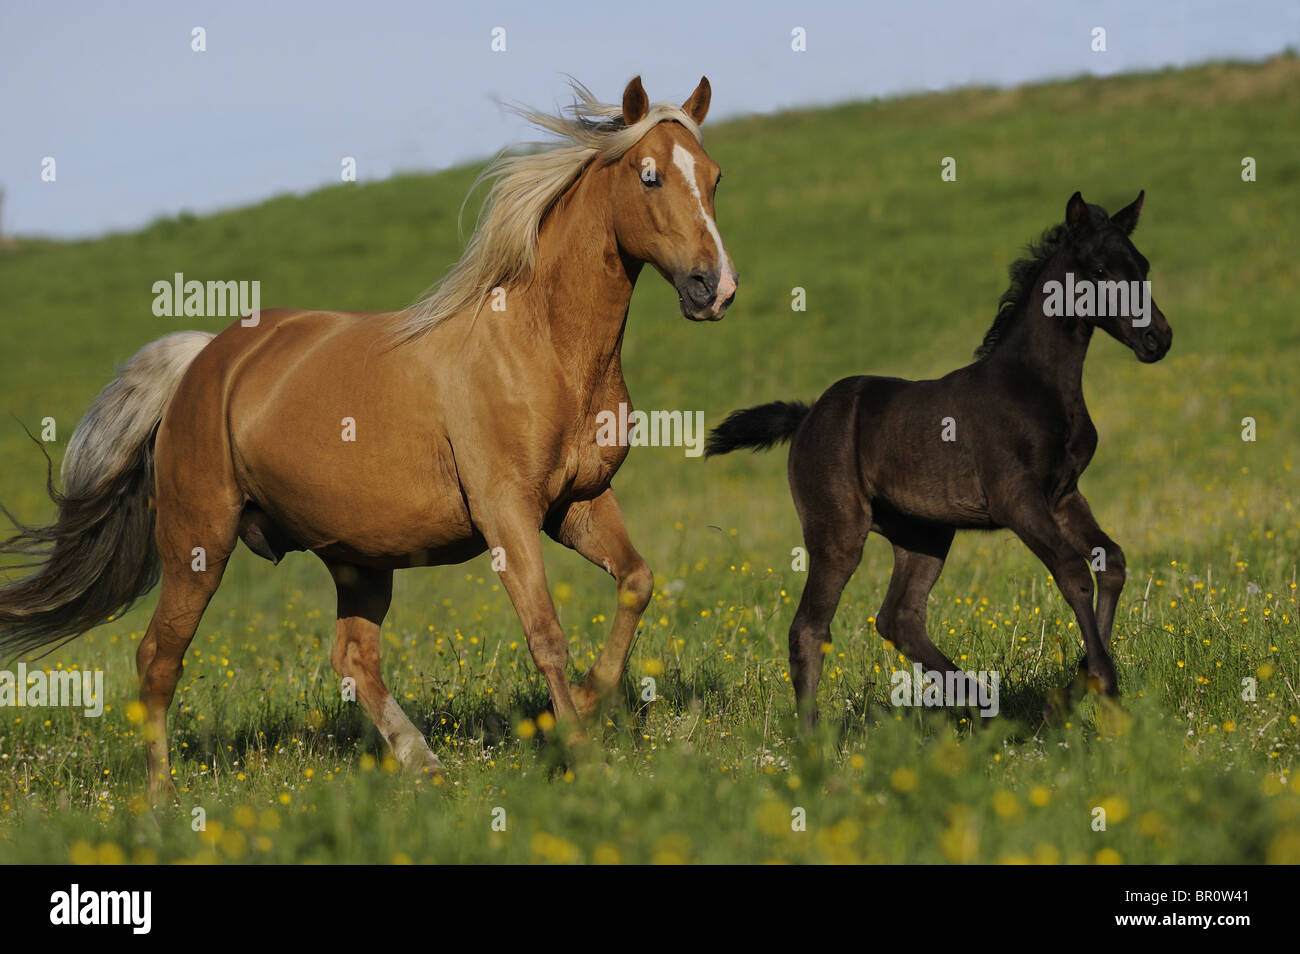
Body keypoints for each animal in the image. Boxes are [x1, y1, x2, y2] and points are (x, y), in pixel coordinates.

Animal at [0, 78, 733, 805]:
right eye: (648, 176)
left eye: (714, 177)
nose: (713, 288)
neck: (541, 345)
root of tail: (203, 361)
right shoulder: (507, 513)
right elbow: (546, 634)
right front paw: (579, 752)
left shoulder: (577, 503)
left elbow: (636, 582)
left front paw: (578, 707)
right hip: (197, 542)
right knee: (158, 658)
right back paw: (162, 803)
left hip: (357, 558)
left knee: (353, 658)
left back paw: (425, 766)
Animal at [707, 196, 1175, 733]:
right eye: (1098, 270)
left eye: (1142, 266)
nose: (1157, 339)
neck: (1036, 385)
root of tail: (806, 416)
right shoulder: (1017, 499)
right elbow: (1072, 570)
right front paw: (1101, 681)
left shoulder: (1064, 495)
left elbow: (1111, 561)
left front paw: (1070, 692)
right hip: (837, 531)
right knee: (810, 628)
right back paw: (813, 740)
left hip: (924, 533)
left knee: (900, 617)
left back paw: (986, 707)